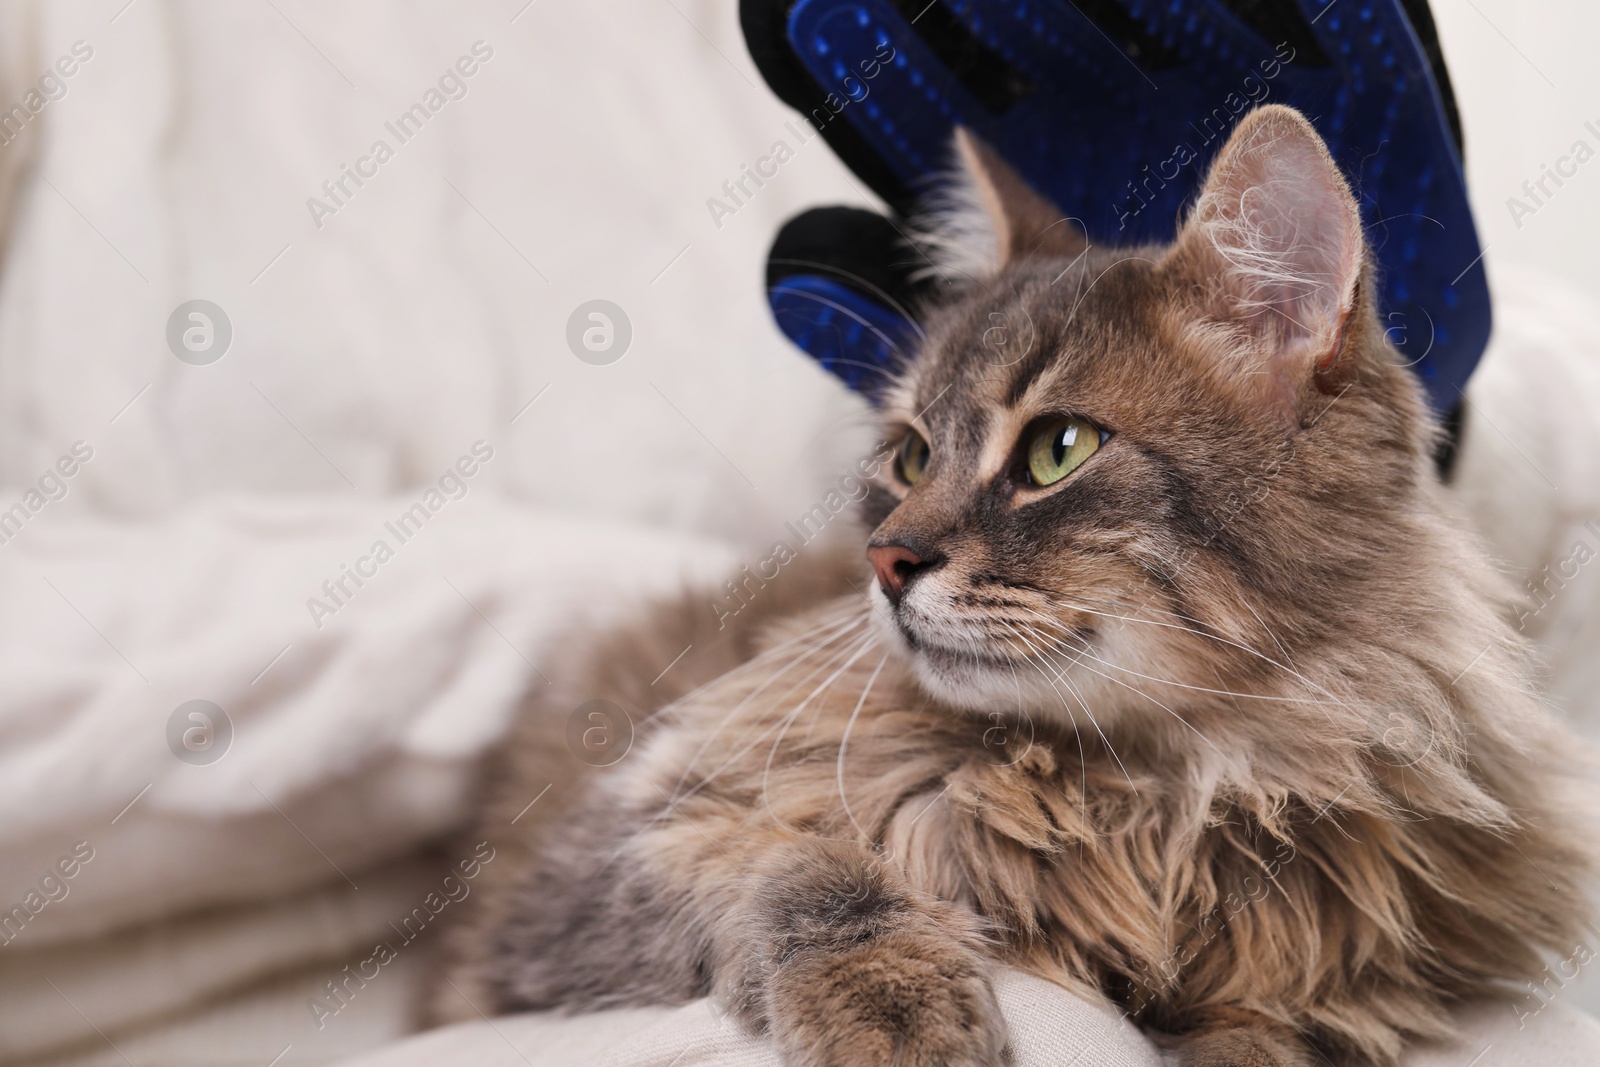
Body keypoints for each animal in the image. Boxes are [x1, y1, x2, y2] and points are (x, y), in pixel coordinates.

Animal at [441, 106, 1600, 1067]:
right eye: (908, 457)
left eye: (1058, 450)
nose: (886, 560)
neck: (1146, 793)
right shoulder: (597, 870)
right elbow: (805, 868)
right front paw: (893, 1010)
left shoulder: (1332, 970)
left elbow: (1266, 1033)